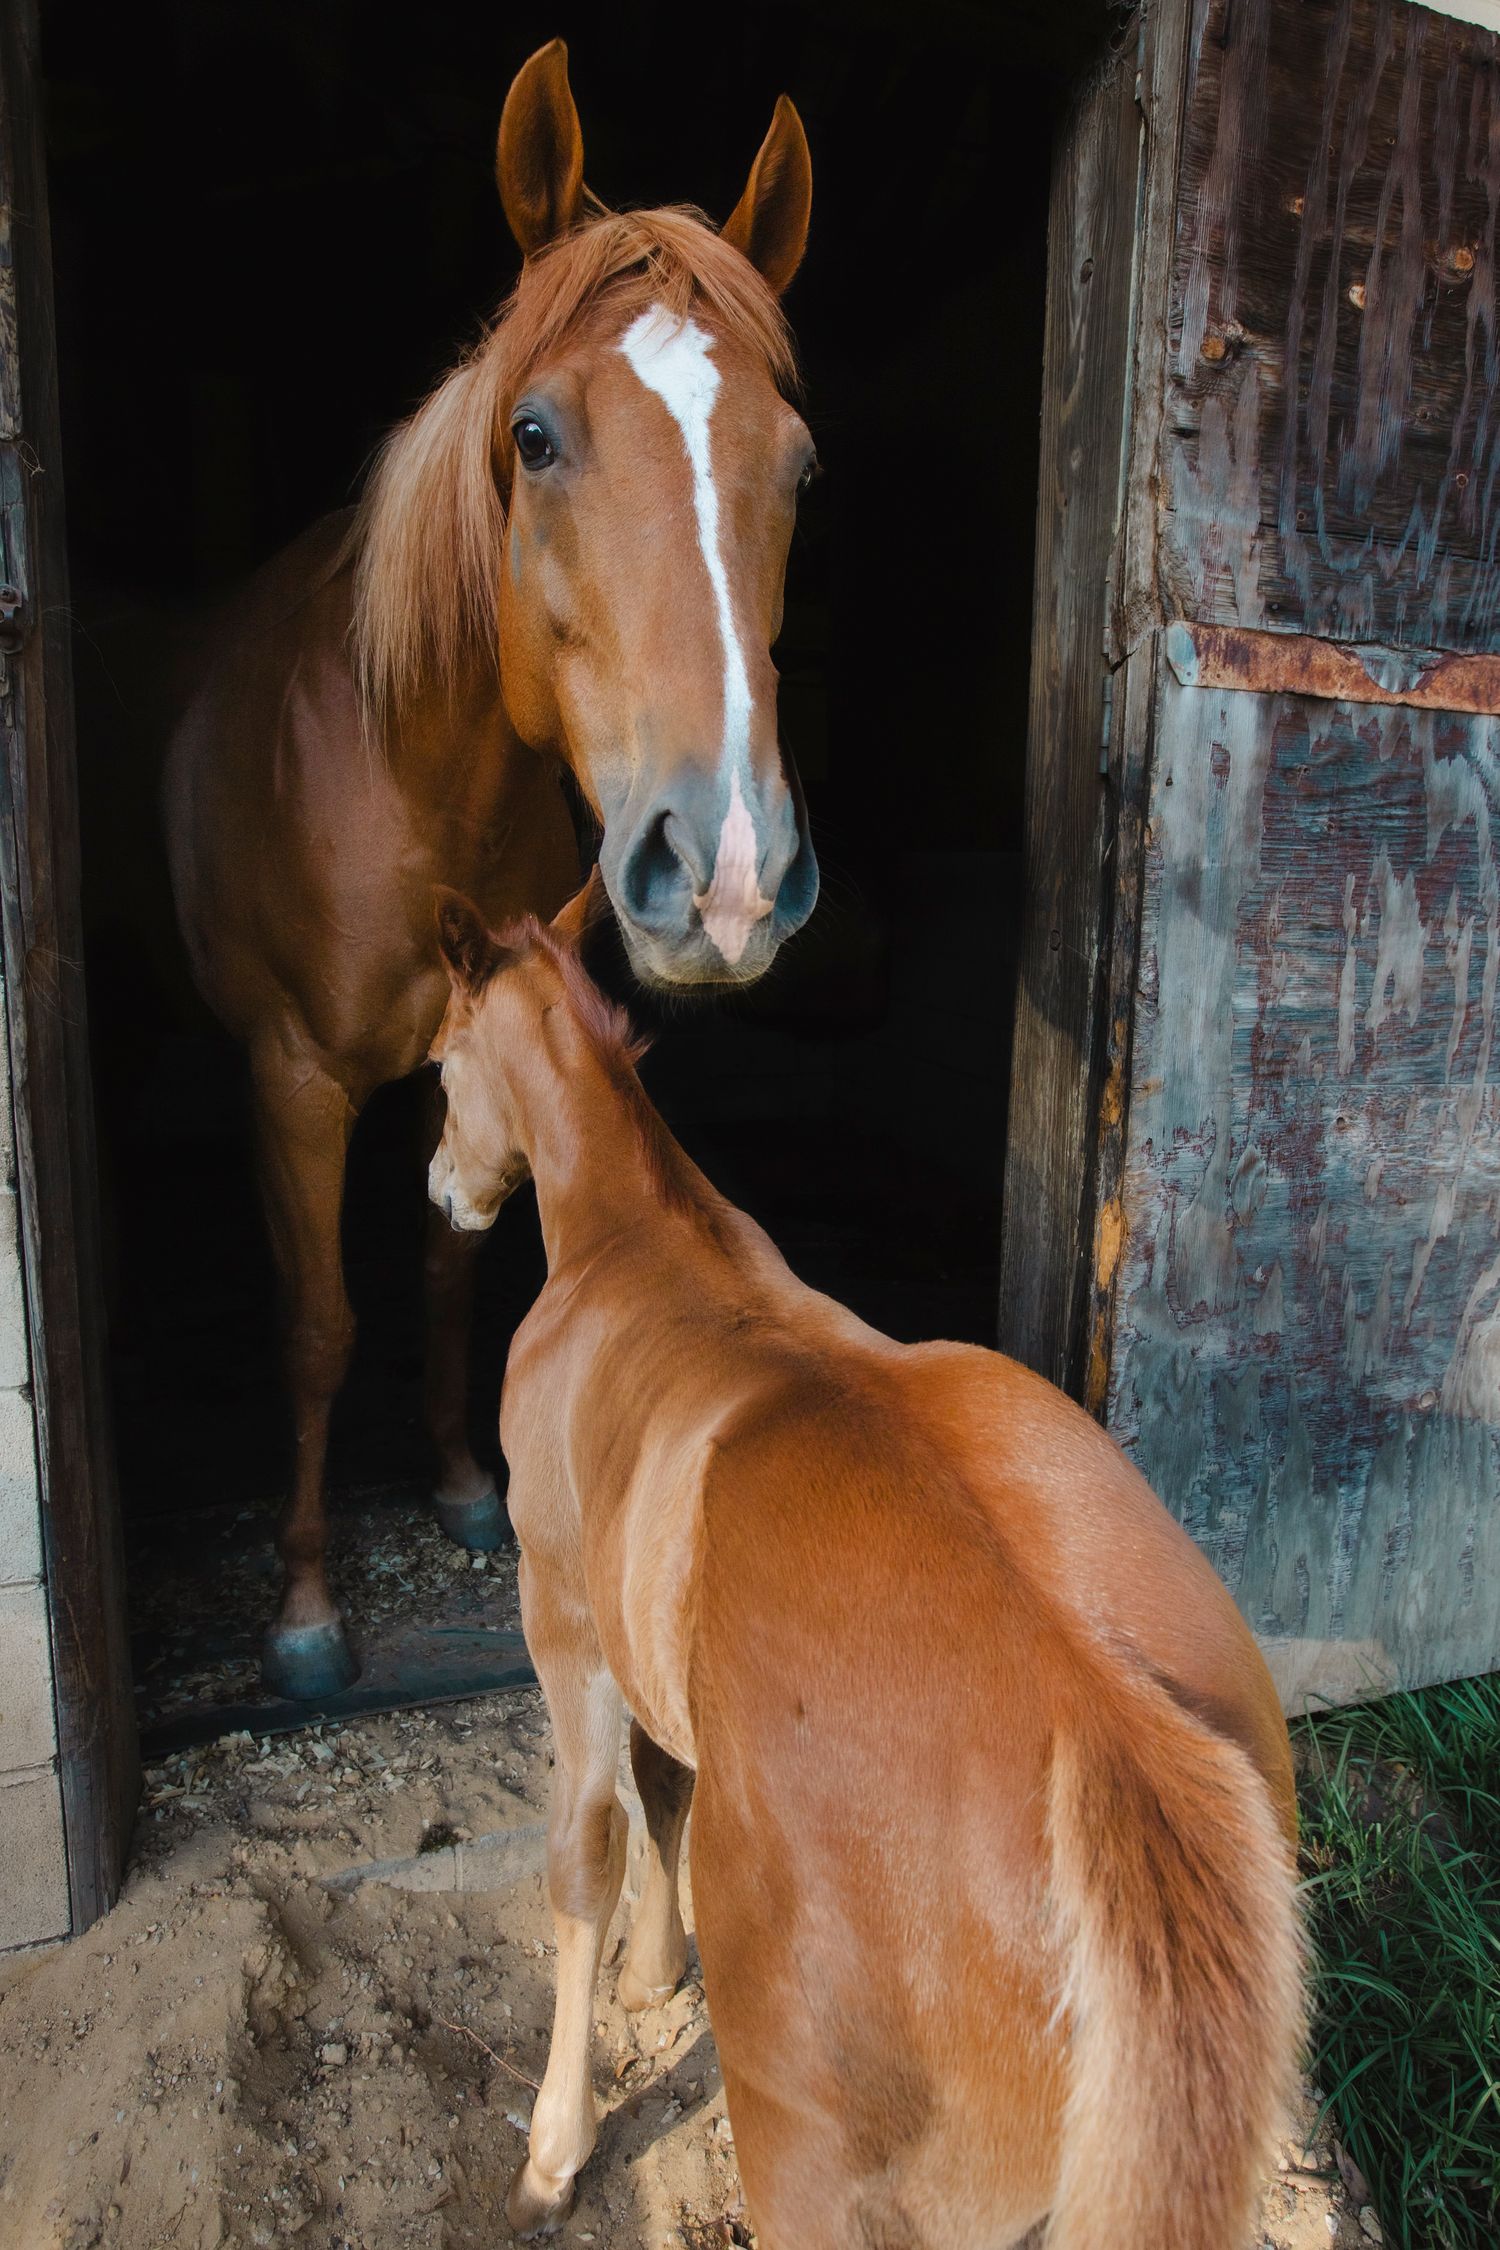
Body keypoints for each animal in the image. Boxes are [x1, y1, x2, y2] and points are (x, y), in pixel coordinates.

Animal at [163, 40, 820, 1699]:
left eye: (798, 464)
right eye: (534, 435)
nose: (726, 867)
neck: (411, 773)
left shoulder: (462, 1047)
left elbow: (450, 1266)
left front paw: (464, 1486)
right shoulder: (292, 1078)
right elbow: (320, 1326)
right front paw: (306, 1611)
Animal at [426, 881, 1305, 2250]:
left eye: (438, 1062)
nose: (440, 1190)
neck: (641, 1241)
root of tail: (1108, 1731)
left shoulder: (562, 1609)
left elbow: (587, 1846)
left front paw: (555, 2148)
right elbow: (666, 1786)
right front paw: (653, 1974)